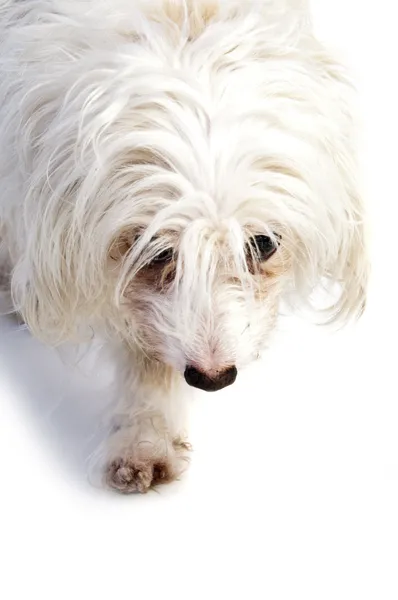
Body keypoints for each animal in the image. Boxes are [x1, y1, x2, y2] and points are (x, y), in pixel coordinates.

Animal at [0, 1, 366, 492]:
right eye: (157, 251)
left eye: (263, 244)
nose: (213, 379)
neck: (184, 25)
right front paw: (144, 439)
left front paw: (147, 437)